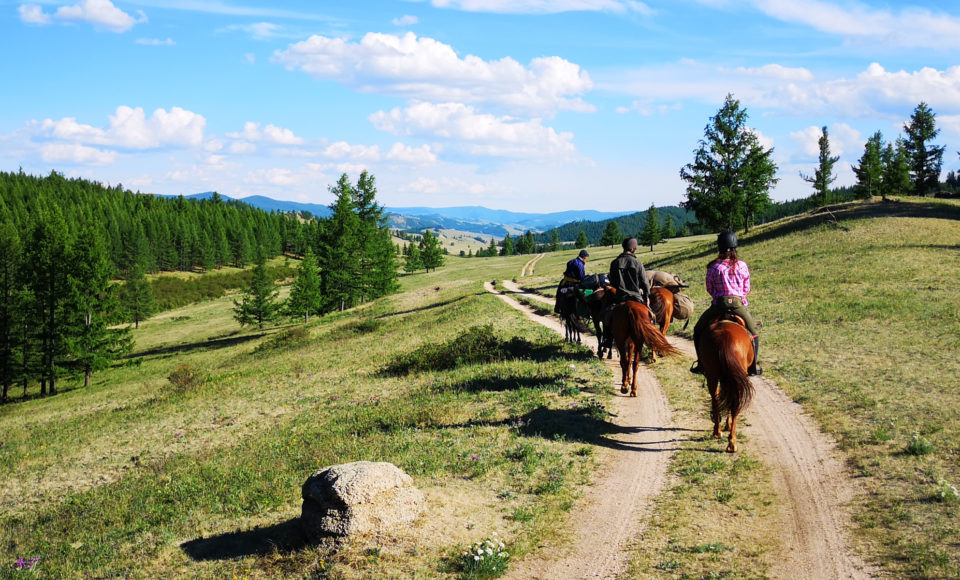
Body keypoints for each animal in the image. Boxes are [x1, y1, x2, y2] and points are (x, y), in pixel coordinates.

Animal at [696, 312, 756, 454]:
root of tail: (725, 337)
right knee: (732, 403)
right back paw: (730, 442)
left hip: (713, 375)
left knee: (716, 398)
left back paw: (720, 433)